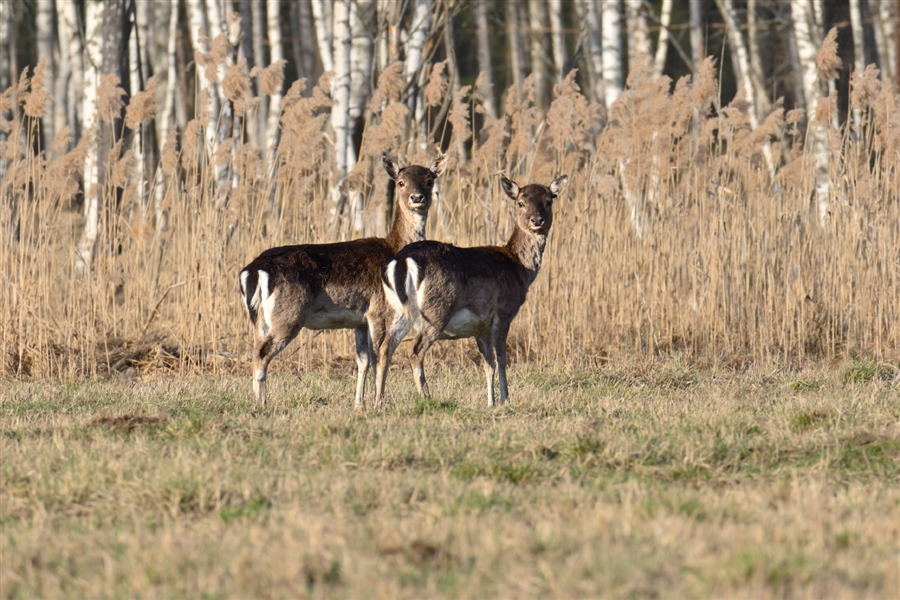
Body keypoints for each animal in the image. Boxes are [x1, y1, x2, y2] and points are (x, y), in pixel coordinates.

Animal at [241, 154, 448, 408]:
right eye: (400, 182)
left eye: (429, 180)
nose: (416, 197)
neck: (393, 247)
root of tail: (253, 271)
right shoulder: (379, 310)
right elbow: (378, 356)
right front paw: (377, 402)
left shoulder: (359, 320)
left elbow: (362, 360)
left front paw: (359, 403)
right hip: (287, 315)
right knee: (261, 354)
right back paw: (262, 402)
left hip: (263, 319)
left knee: (254, 348)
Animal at [368, 173, 568, 408]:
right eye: (520, 203)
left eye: (548, 201)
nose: (536, 220)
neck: (519, 267)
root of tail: (401, 261)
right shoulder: (504, 312)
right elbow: (501, 359)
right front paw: (505, 399)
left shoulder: (480, 326)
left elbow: (488, 364)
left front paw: (491, 402)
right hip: (437, 310)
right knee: (415, 350)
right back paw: (426, 397)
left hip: (396, 310)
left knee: (385, 348)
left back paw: (378, 402)